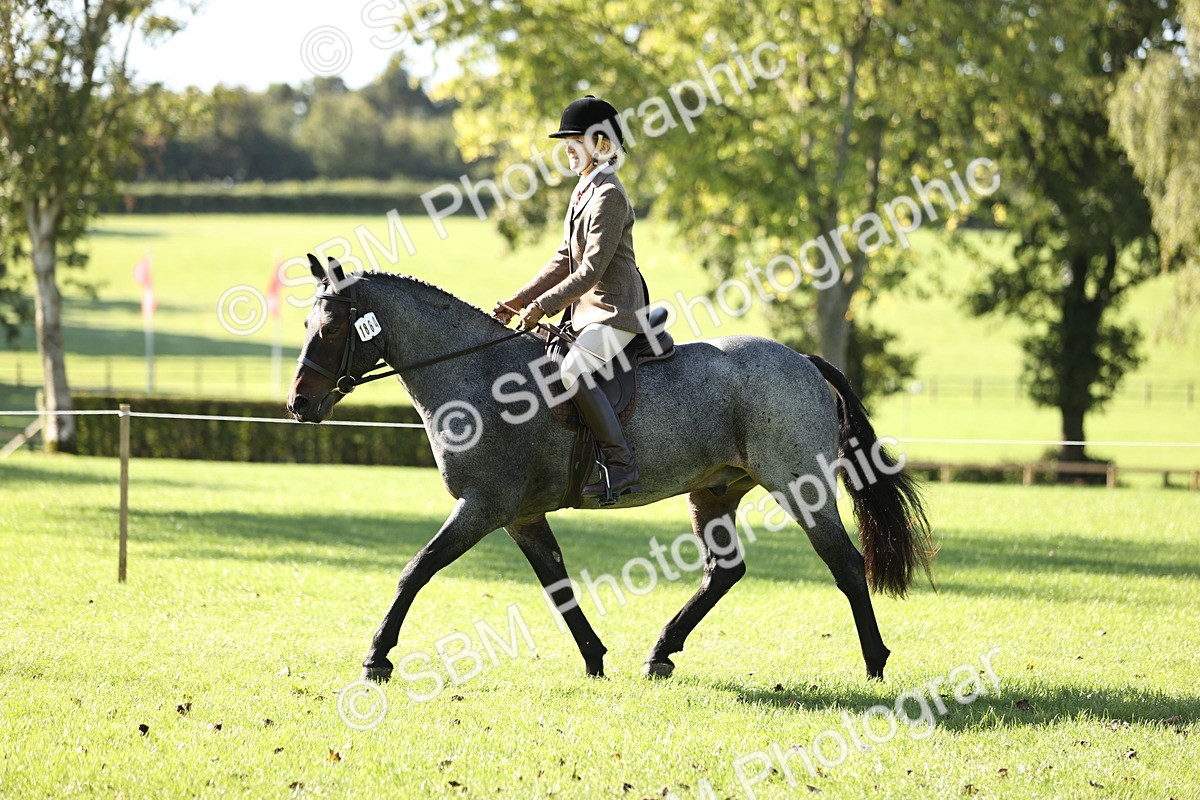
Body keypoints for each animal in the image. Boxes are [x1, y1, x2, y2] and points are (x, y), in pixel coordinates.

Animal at [286, 256, 933, 683]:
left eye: (332, 326)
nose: (299, 404)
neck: (477, 374)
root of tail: (800, 358)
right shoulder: (520, 516)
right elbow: (558, 586)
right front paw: (595, 659)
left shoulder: (483, 506)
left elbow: (414, 571)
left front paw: (377, 658)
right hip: (714, 492)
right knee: (724, 572)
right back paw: (660, 653)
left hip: (800, 486)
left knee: (845, 563)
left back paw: (875, 663)